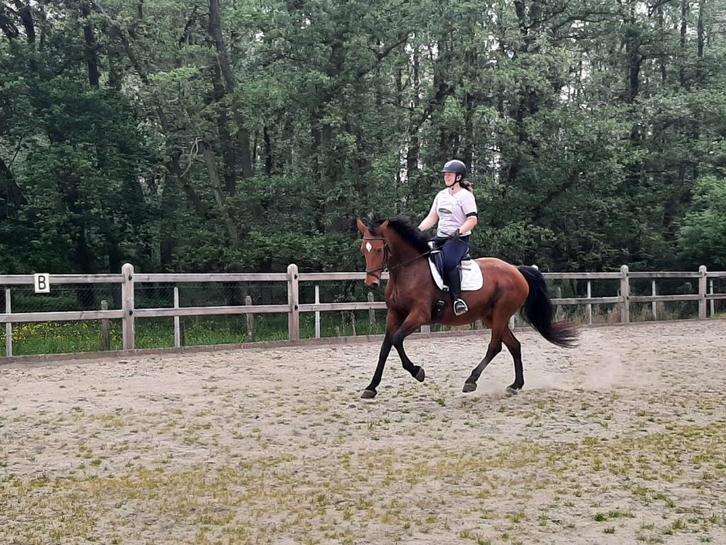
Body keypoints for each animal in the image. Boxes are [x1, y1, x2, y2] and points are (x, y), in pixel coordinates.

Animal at [356, 216, 578, 399]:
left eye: (378, 249)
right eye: (363, 250)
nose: (371, 283)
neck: (409, 270)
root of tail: (516, 270)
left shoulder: (418, 315)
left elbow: (397, 339)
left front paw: (418, 372)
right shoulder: (395, 314)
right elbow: (385, 348)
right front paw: (371, 387)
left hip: (501, 313)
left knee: (495, 346)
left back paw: (471, 382)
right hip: (491, 316)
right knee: (514, 345)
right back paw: (515, 385)